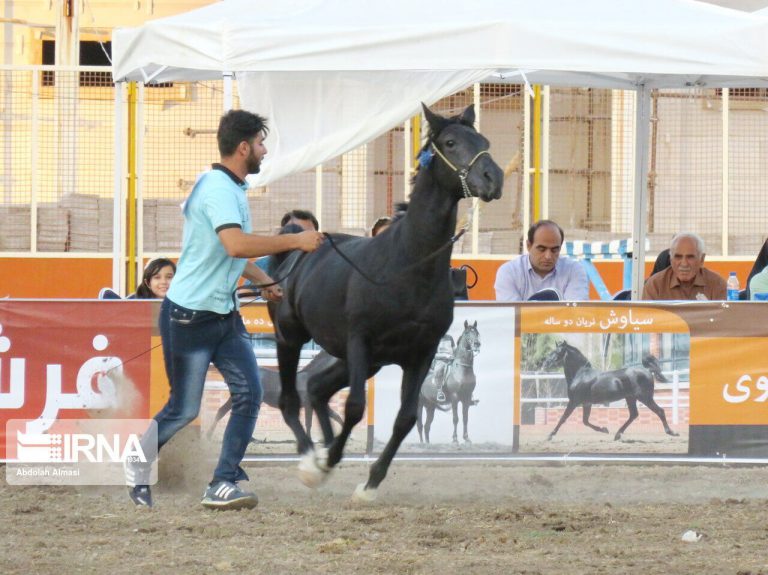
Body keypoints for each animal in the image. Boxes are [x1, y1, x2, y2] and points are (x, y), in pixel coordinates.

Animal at [268, 103, 504, 500]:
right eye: (450, 142)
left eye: (484, 141)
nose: (494, 178)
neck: (406, 264)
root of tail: (293, 248)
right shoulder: (360, 341)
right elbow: (355, 407)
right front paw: (327, 462)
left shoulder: (419, 353)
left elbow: (405, 418)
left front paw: (369, 482)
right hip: (292, 337)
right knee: (291, 399)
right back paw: (311, 462)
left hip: (361, 360)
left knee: (317, 389)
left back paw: (323, 454)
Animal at [540, 342, 680, 440]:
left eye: (558, 352)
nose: (545, 364)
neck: (581, 374)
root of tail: (647, 370)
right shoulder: (586, 403)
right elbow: (585, 421)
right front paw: (604, 429)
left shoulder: (574, 402)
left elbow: (563, 418)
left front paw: (550, 435)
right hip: (631, 398)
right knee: (634, 415)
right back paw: (617, 434)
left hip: (644, 397)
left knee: (660, 411)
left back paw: (672, 432)